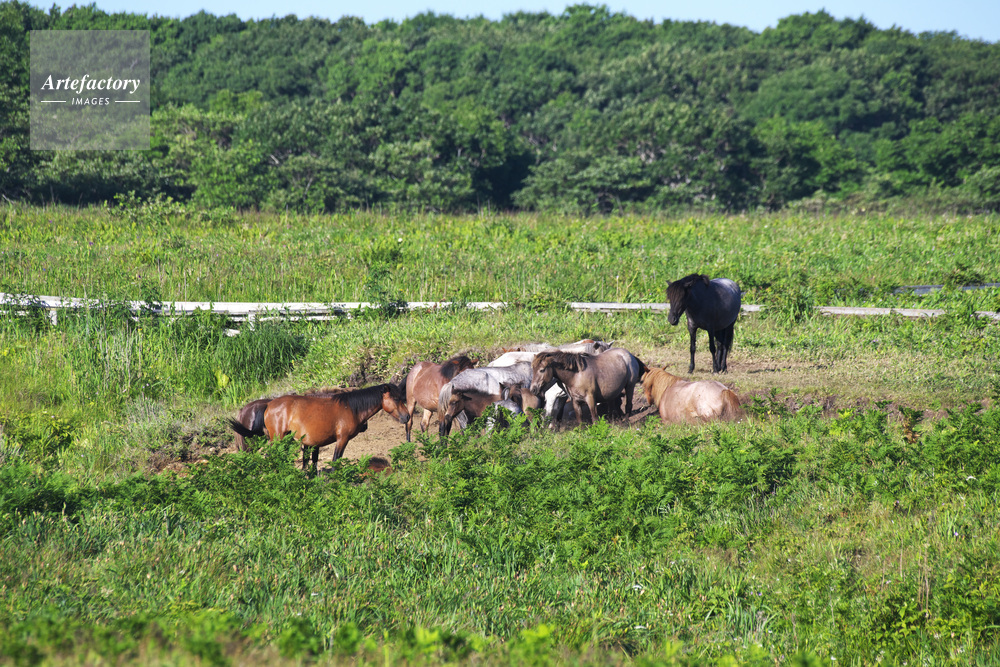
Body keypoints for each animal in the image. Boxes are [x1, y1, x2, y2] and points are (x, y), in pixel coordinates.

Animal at [227, 383, 409, 474]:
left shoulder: (313, 444)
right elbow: (335, 461)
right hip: (276, 439)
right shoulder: (342, 439)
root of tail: (269, 404)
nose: (407, 417)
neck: (350, 408)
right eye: (396, 398)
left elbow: (311, 464)